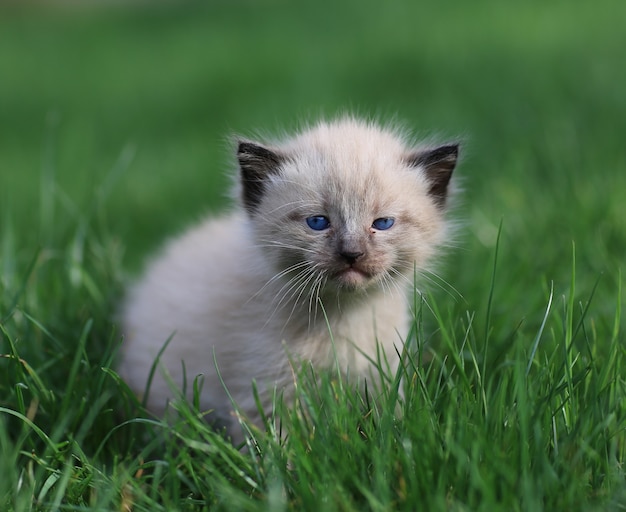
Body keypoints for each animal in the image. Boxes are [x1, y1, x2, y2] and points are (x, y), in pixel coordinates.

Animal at [118, 117, 458, 440]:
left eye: (383, 223)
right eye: (318, 222)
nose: (352, 253)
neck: (342, 317)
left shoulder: (381, 374)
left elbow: (390, 424)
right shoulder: (266, 391)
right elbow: (278, 447)